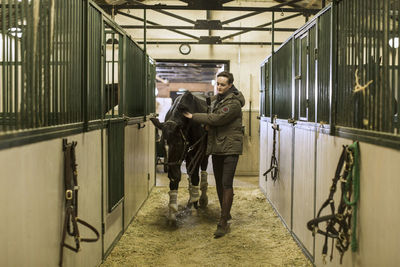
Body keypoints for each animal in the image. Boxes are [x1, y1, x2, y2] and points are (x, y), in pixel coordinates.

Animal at [151, 92, 209, 224]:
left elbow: (195, 177)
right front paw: (172, 213)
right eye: (161, 145)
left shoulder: (197, 152)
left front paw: (195, 201)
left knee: (202, 173)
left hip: (204, 153)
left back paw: (202, 199)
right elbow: (176, 181)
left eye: (177, 144)